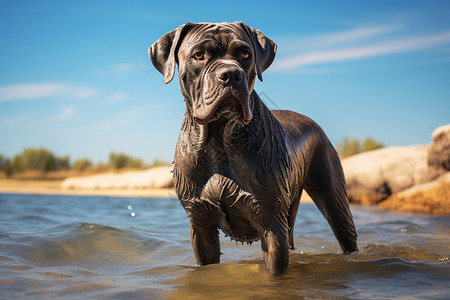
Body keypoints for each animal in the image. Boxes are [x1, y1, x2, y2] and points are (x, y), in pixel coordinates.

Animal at [149, 21, 356, 276]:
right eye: (198, 55)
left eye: (245, 54)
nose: (231, 74)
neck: (218, 139)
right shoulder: (200, 222)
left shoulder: (271, 223)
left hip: (334, 199)